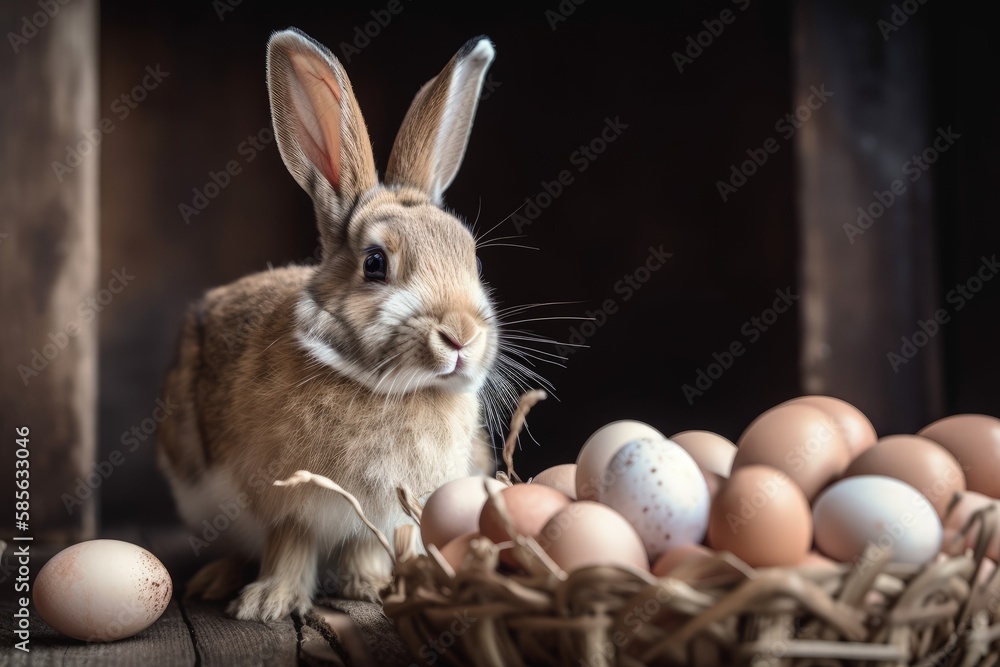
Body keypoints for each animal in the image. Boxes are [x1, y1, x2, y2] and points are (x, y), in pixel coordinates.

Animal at [159, 28, 504, 624]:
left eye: (473, 259)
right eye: (375, 264)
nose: (461, 335)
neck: (383, 388)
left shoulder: (381, 516)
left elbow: (365, 548)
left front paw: (371, 588)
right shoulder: (288, 505)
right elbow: (290, 546)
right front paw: (268, 604)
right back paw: (216, 581)